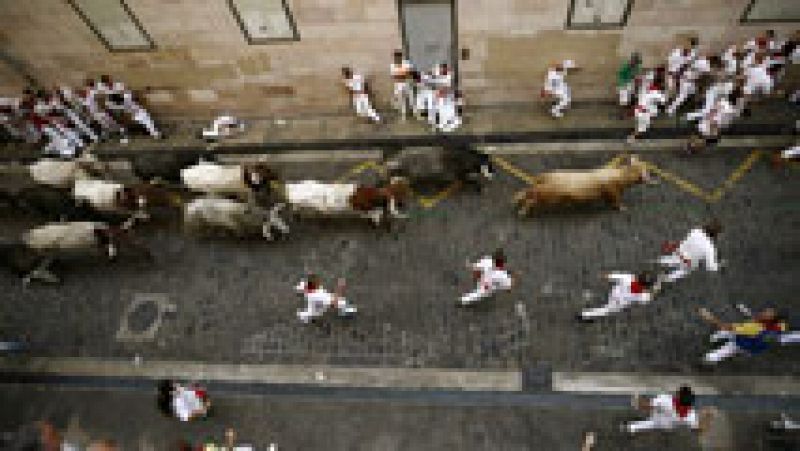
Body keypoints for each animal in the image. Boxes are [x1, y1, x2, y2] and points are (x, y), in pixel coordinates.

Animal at [512, 155, 648, 217]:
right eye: (645, 169)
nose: (649, 179)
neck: (620, 176)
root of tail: (545, 176)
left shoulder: (608, 192)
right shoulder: (613, 190)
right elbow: (617, 200)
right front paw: (622, 207)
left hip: (543, 190)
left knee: (529, 191)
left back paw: (516, 199)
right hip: (548, 194)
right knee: (531, 197)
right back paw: (522, 211)